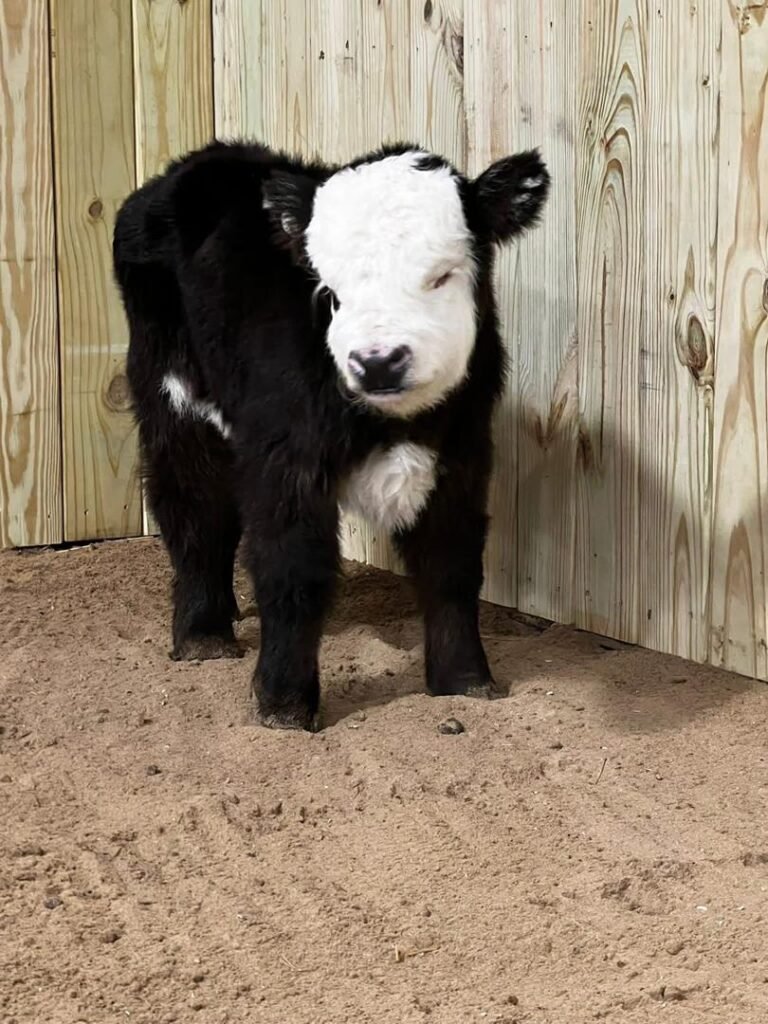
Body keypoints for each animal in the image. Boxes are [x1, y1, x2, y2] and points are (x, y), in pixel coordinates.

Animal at [113, 139, 550, 731]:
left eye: (442, 276)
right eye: (331, 291)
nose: (378, 361)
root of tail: (199, 162)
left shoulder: (462, 454)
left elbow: (452, 562)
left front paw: (465, 681)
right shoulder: (286, 460)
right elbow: (294, 568)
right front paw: (285, 704)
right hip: (170, 395)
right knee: (193, 507)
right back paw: (204, 634)